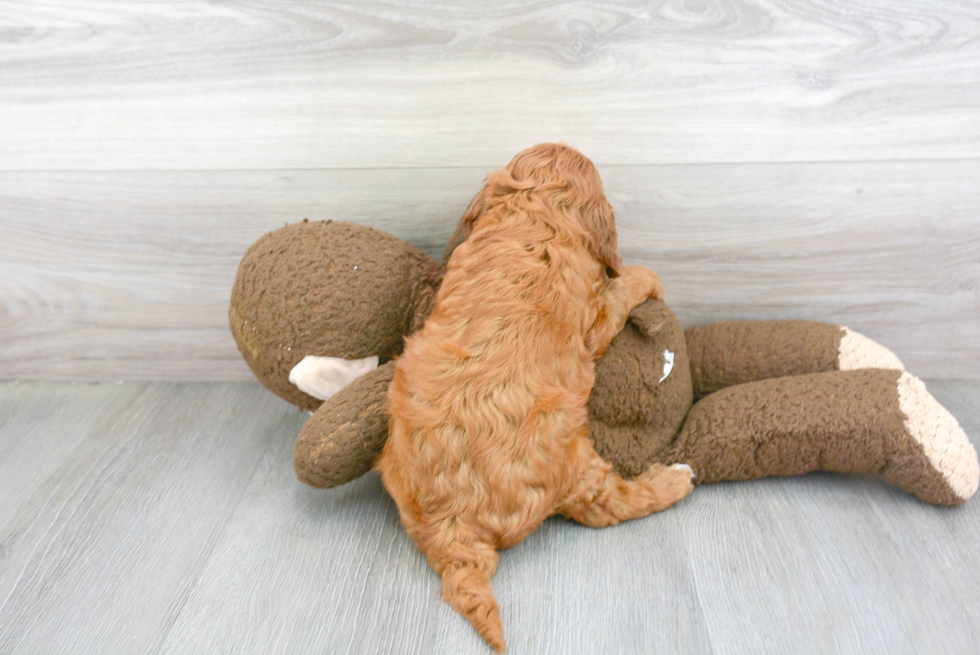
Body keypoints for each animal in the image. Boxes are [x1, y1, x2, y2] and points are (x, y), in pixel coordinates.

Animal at [378, 144, 696, 652]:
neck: (534, 215)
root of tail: (453, 525)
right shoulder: (594, 320)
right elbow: (621, 288)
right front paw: (646, 276)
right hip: (572, 459)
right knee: (608, 504)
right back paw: (676, 479)